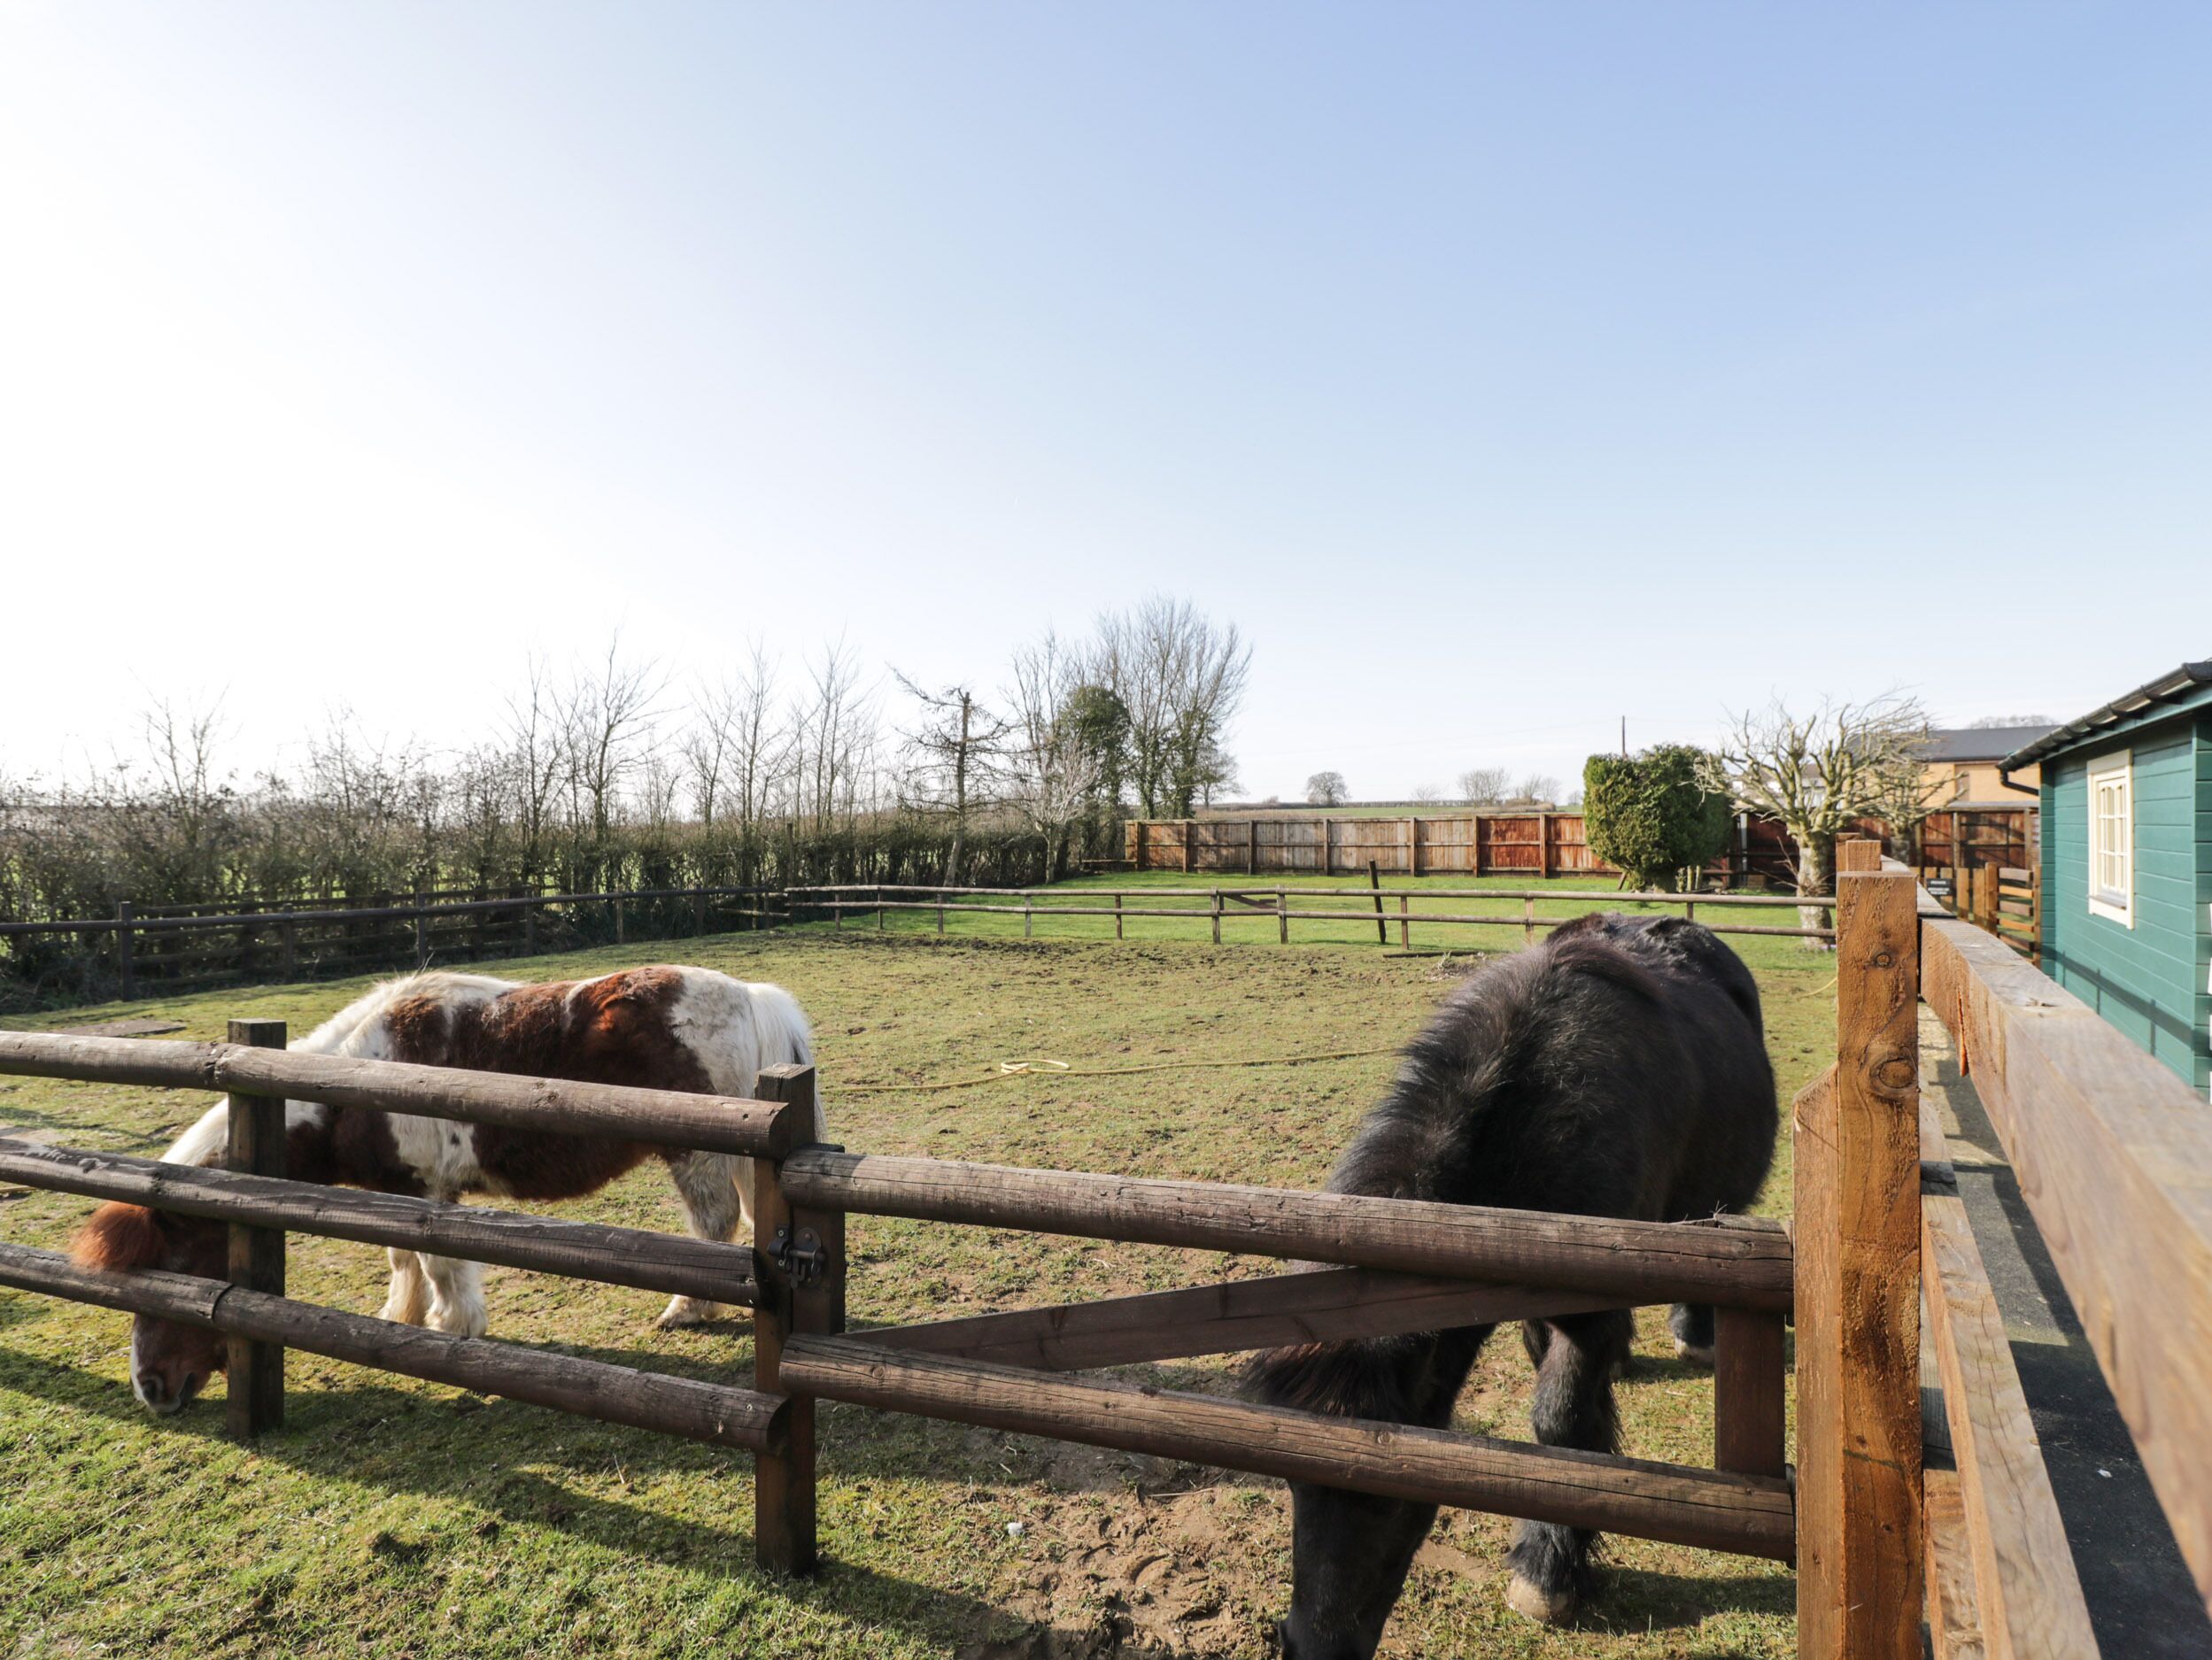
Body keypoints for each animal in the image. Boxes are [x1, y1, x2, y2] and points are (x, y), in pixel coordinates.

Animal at [72, 965, 823, 1416]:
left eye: (170, 1270)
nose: (149, 1388)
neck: (354, 1081)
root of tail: (749, 996)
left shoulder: (429, 1189)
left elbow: (437, 1260)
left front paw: (454, 1325)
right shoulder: (400, 1191)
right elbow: (402, 1256)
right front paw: (402, 1314)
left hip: (698, 1154)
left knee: (715, 1227)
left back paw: (686, 1309)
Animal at [1245, 911, 1776, 1655]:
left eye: (1388, 1493)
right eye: (1293, 1483)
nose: (1313, 1646)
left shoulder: (1583, 1318)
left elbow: (1559, 1425)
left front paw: (1548, 1571)